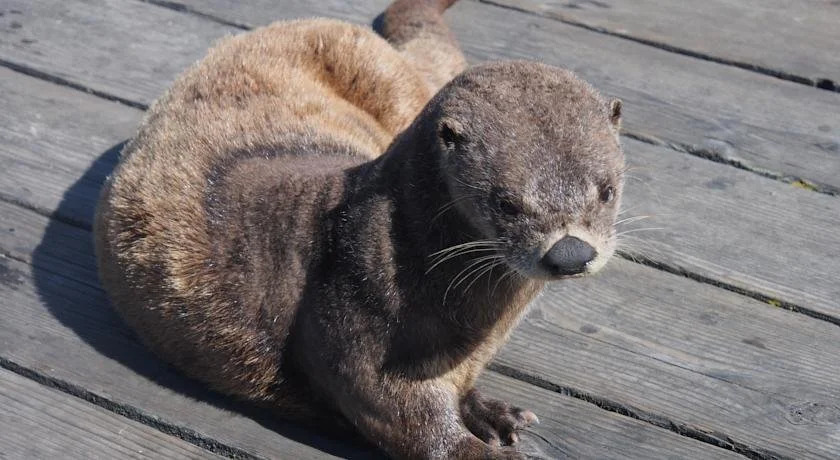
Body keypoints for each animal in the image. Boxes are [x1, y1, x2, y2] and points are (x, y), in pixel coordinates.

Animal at [94, 0, 625, 458]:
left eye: (607, 190)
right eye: (506, 203)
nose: (571, 252)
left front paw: (491, 411)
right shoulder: (356, 321)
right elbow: (404, 417)